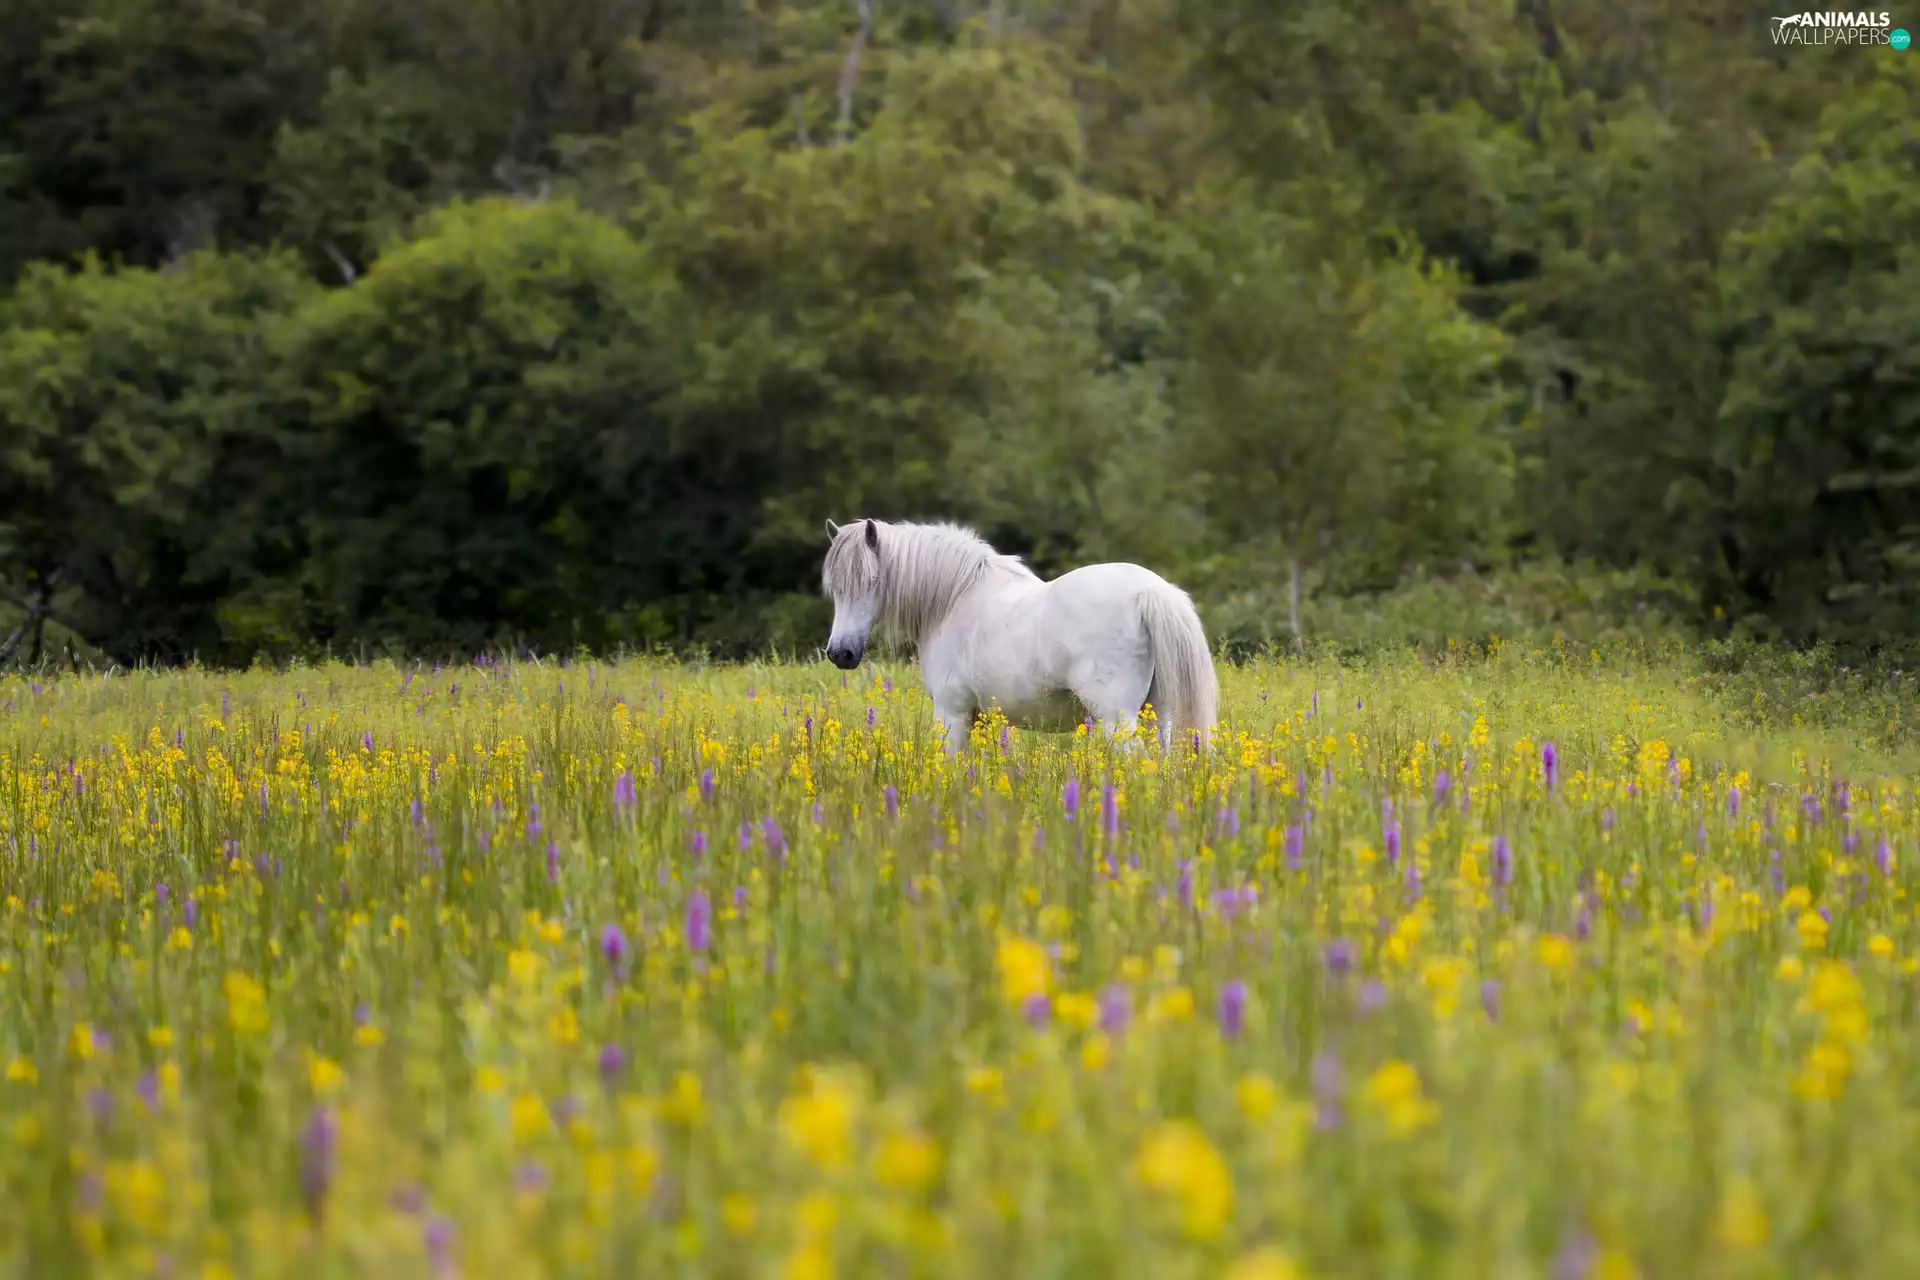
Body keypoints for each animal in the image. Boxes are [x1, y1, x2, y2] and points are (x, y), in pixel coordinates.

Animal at [821, 518, 1218, 753]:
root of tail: (1150, 591)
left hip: (1116, 719)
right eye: (835, 588)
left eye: (870, 581)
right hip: (1159, 716)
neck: (954, 597)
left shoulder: (951, 713)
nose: (840, 654)